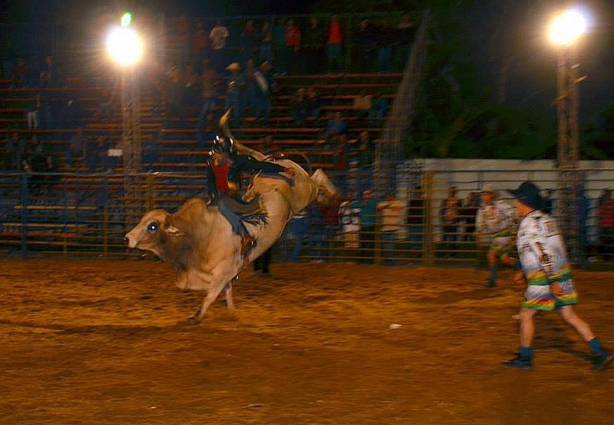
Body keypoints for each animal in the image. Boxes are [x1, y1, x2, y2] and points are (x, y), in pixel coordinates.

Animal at [124, 112, 336, 322]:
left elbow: (210, 295)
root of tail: (272, 160)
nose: (127, 238)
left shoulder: (225, 269)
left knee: (318, 175)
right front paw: (232, 310)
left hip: (305, 192)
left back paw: (333, 194)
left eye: (152, 226)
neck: (197, 235)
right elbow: (226, 290)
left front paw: (196, 316)